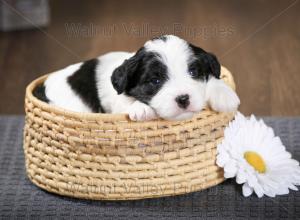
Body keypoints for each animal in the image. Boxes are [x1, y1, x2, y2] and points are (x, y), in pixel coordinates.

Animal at [33, 34, 239, 120]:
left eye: (193, 73)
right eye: (155, 81)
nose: (183, 99)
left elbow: (212, 78)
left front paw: (225, 95)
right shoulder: (115, 102)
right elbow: (125, 99)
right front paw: (141, 108)